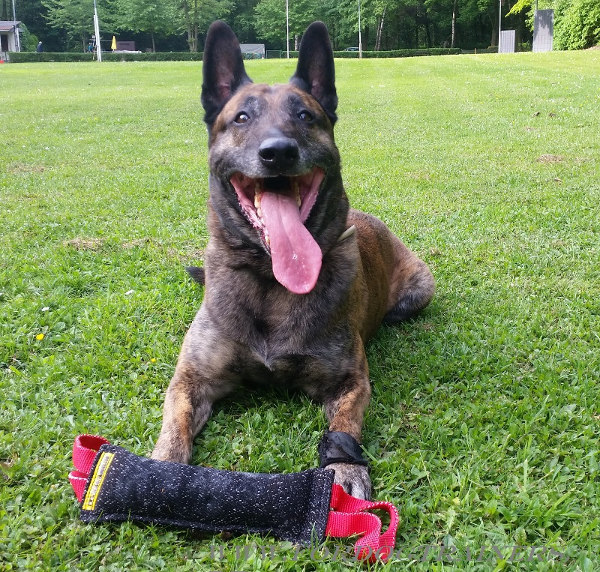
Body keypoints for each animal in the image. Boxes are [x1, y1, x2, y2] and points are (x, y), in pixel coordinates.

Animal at [152, 20, 434, 498]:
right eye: (241, 118)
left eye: (305, 115)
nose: (278, 151)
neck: (271, 281)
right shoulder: (192, 380)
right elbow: (175, 426)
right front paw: (157, 469)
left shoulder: (349, 381)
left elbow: (344, 426)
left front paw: (344, 468)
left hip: (422, 287)